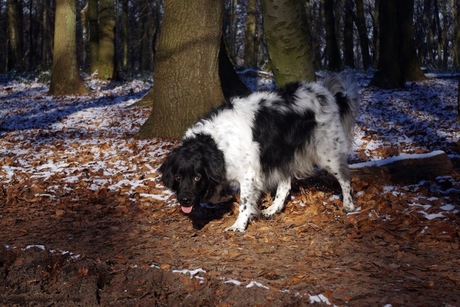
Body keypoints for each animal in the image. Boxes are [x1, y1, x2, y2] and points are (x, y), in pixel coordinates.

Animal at [162, 74, 360, 231]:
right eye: (178, 177)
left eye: (197, 177)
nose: (184, 200)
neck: (215, 143)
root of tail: (330, 96)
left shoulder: (249, 174)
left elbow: (244, 202)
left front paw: (239, 225)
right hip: (281, 154)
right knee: (285, 184)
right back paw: (273, 209)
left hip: (326, 152)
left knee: (344, 177)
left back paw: (348, 205)